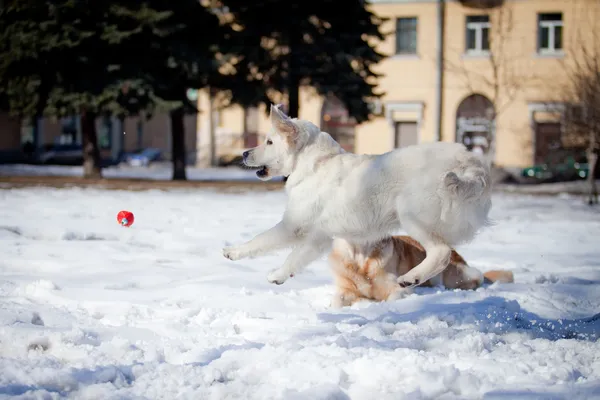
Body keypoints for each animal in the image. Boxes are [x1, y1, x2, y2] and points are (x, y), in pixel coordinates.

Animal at [223, 104, 490, 288]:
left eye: (269, 142)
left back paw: (411, 278)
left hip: (411, 214)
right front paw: (280, 275)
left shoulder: (294, 225)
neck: (315, 163)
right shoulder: (319, 236)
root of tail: (469, 163)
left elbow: (262, 240)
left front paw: (235, 253)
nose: (244, 153)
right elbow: (296, 256)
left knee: (442, 253)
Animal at [326, 236, 512, 308]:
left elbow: (391, 298)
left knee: (477, 277)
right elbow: (336, 301)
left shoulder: (399, 289)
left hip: (456, 275)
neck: (361, 257)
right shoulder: (344, 289)